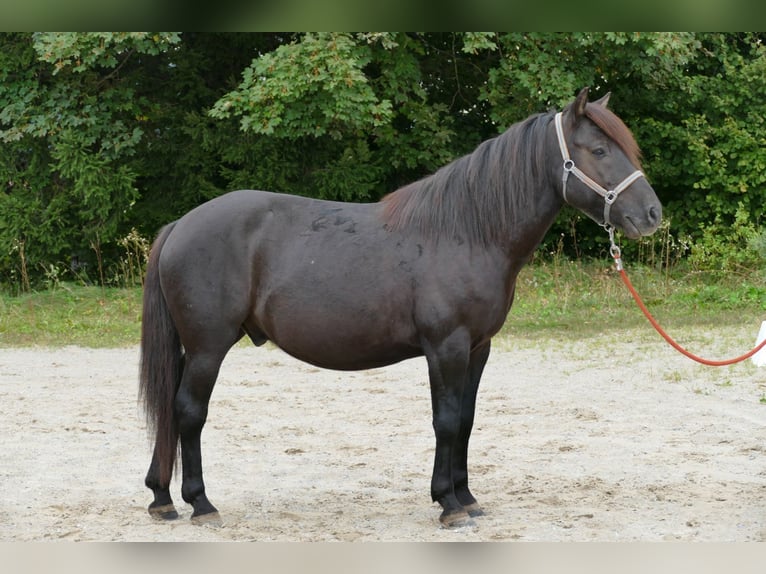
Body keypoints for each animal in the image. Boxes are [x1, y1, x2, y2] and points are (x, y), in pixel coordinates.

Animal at [141, 88, 664, 528]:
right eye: (599, 151)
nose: (652, 215)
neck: (467, 232)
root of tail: (180, 224)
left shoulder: (478, 348)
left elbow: (466, 420)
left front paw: (466, 497)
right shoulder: (446, 347)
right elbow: (446, 421)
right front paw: (449, 505)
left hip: (193, 348)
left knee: (171, 410)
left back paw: (161, 498)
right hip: (208, 347)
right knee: (189, 411)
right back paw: (200, 503)